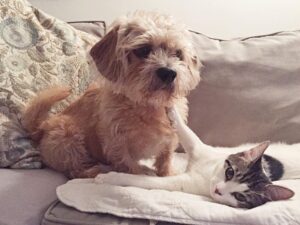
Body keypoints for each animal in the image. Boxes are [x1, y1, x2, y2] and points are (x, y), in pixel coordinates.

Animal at [21, 11, 202, 178]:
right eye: (143, 50)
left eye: (178, 53)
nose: (169, 73)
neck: (148, 105)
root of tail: (42, 126)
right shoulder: (117, 142)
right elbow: (127, 164)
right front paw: (138, 175)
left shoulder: (170, 139)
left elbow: (165, 158)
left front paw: (167, 174)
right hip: (68, 136)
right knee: (74, 170)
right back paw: (92, 171)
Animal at [95, 106, 296, 208]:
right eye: (230, 172)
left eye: (239, 196)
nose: (218, 190)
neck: (209, 174)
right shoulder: (198, 147)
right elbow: (186, 131)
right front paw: (170, 108)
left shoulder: (182, 183)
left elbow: (144, 181)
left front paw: (110, 177)